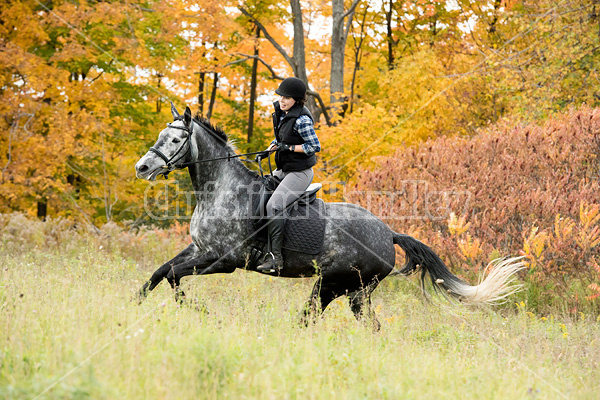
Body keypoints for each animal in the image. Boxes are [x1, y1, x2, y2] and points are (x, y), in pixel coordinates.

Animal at [134, 104, 524, 328]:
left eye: (174, 140)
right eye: (161, 135)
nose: (142, 167)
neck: (220, 190)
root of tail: (389, 234)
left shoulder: (223, 259)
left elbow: (173, 276)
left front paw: (197, 310)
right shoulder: (199, 249)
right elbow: (160, 273)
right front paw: (135, 303)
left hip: (337, 285)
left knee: (326, 320)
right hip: (348, 291)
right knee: (353, 323)